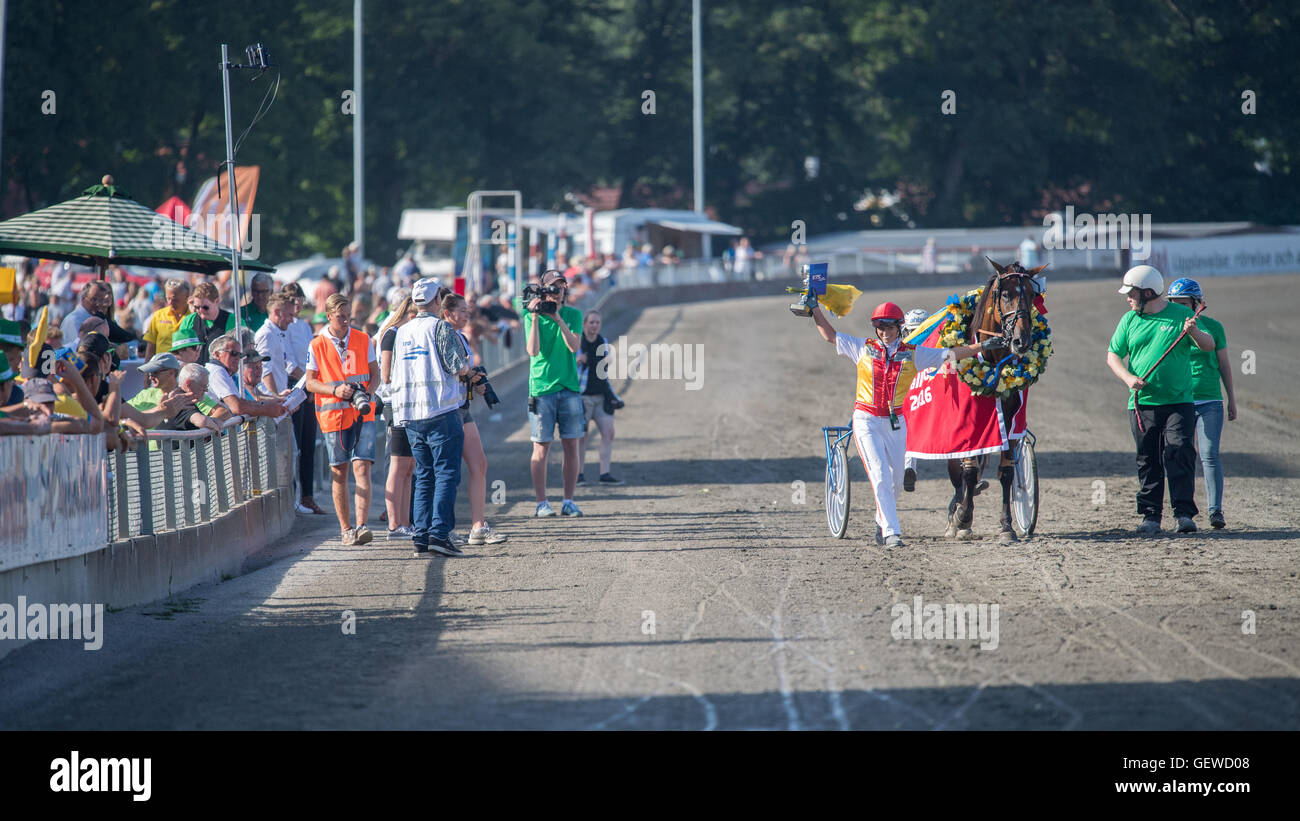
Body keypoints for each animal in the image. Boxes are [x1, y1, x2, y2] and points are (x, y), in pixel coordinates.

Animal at [946, 259, 1045, 543]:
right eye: (1006, 294)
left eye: (1032, 294)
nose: (1022, 341)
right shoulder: (968, 420)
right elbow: (967, 471)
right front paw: (963, 517)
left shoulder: (1010, 416)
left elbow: (1007, 471)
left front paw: (1007, 526)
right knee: (957, 471)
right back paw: (956, 514)